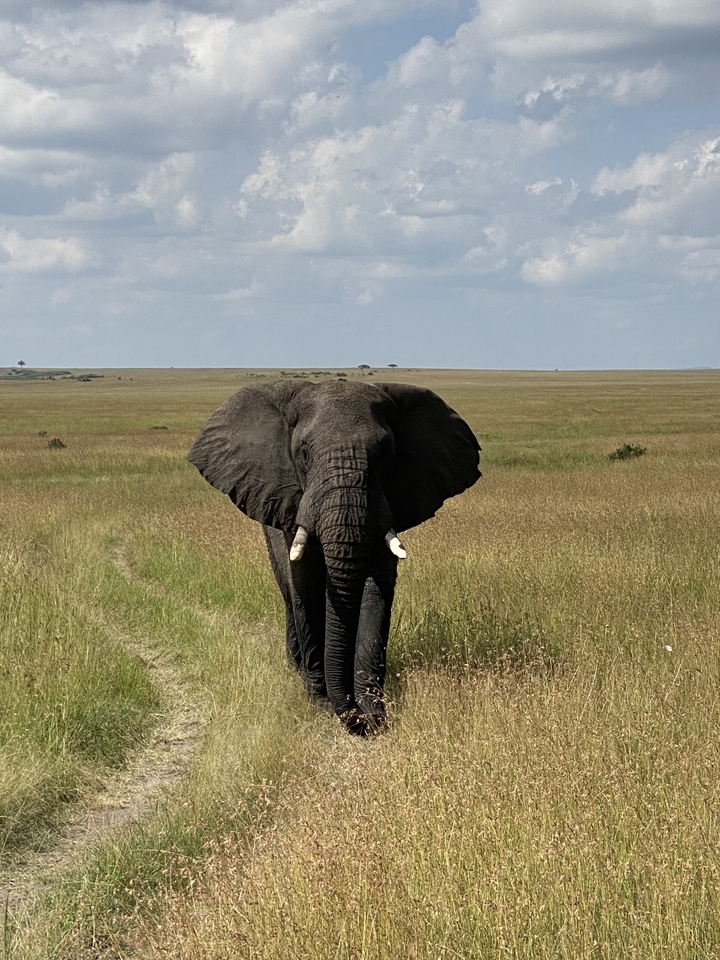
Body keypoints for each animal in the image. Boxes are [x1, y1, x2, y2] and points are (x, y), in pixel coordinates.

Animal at [188, 378, 480, 735]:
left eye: (385, 454)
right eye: (303, 454)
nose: (367, 719)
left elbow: (378, 588)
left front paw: (373, 707)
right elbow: (306, 582)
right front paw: (321, 703)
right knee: (289, 594)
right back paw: (295, 666)